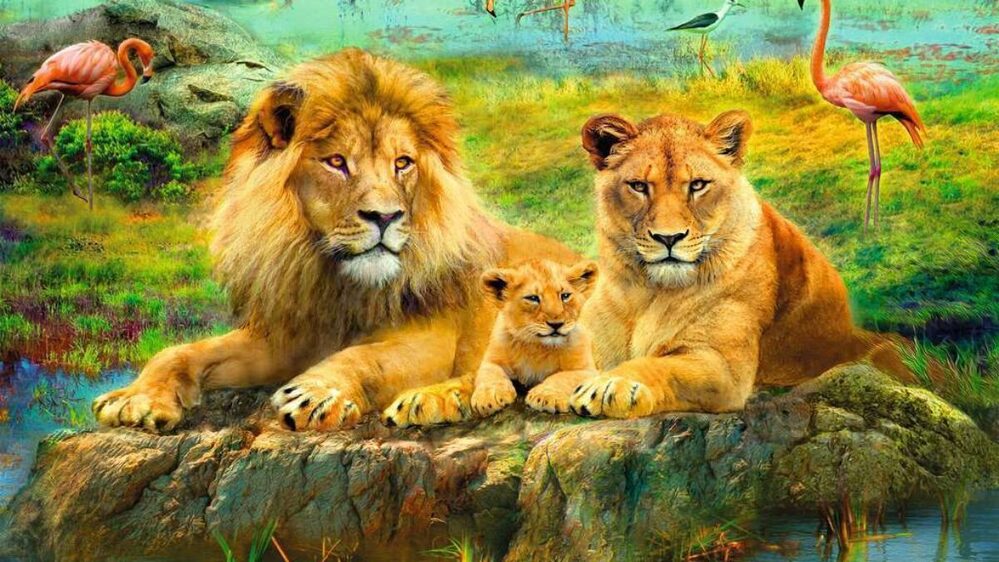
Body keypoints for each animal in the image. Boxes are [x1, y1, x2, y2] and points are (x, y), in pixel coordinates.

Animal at [92, 49, 577, 432]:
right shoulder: (287, 337)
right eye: (337, 162)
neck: (336, 283)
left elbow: (364, 357)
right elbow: (180, 351)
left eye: (403, 163)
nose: (385, 216)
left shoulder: (432, 339)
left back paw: (431, 399)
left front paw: (316, 393)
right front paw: (134, 398)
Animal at [567, 110, 910, 418]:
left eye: (697, 185)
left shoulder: (722, 368)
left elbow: (657, 365)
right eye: (638, 186)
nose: (669, 237)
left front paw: (612, 385)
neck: (647, 293)